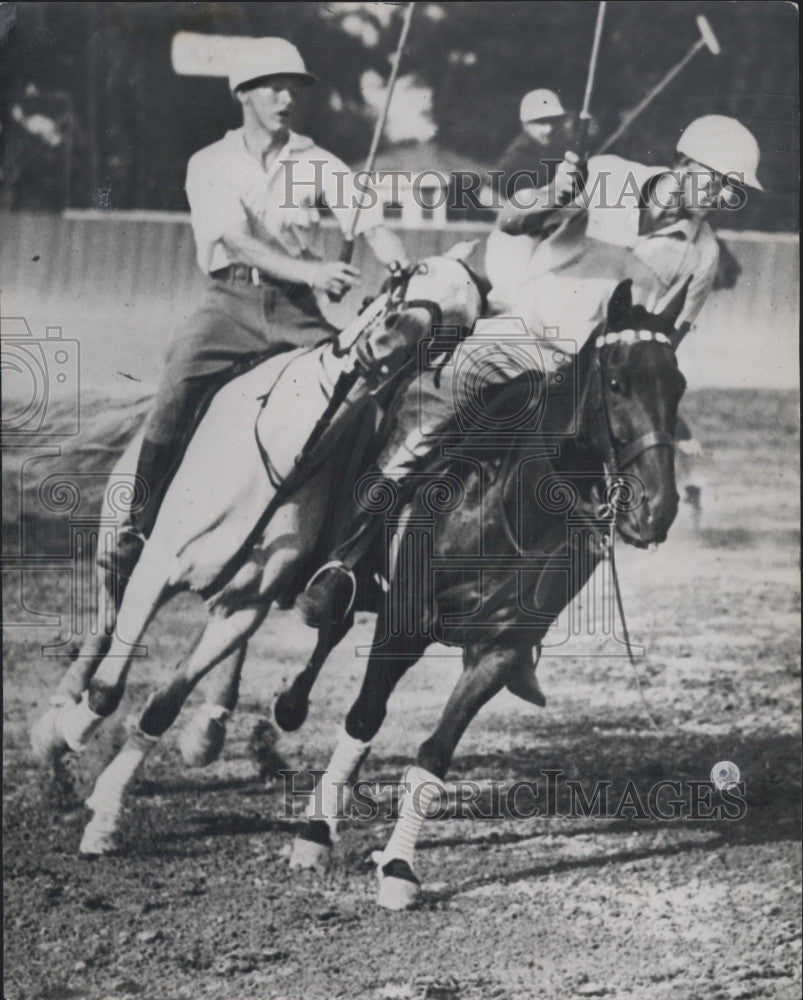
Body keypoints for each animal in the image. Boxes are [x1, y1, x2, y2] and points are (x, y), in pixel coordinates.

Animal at [31, 250, 486, 852]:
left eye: (456, 329)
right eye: (417, 272)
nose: (388, 339)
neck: (292, 441)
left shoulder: (248, 604)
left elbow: (162, 704)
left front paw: (106, 812)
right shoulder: (157, 570)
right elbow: (108, 688)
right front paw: (68, 732)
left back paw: (209, 726)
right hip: (117, 536)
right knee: (105, 621)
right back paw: (55, 721)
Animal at [286, 278, 688, 912]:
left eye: (678, 386)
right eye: (618, 383)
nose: (658, 509)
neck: (505, 510)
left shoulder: (497, 653)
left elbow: (434, 751)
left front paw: (398, 867)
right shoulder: (401, 627)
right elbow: (363, 719)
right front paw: (314, 835)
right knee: (330, 631)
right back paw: (294, 707)